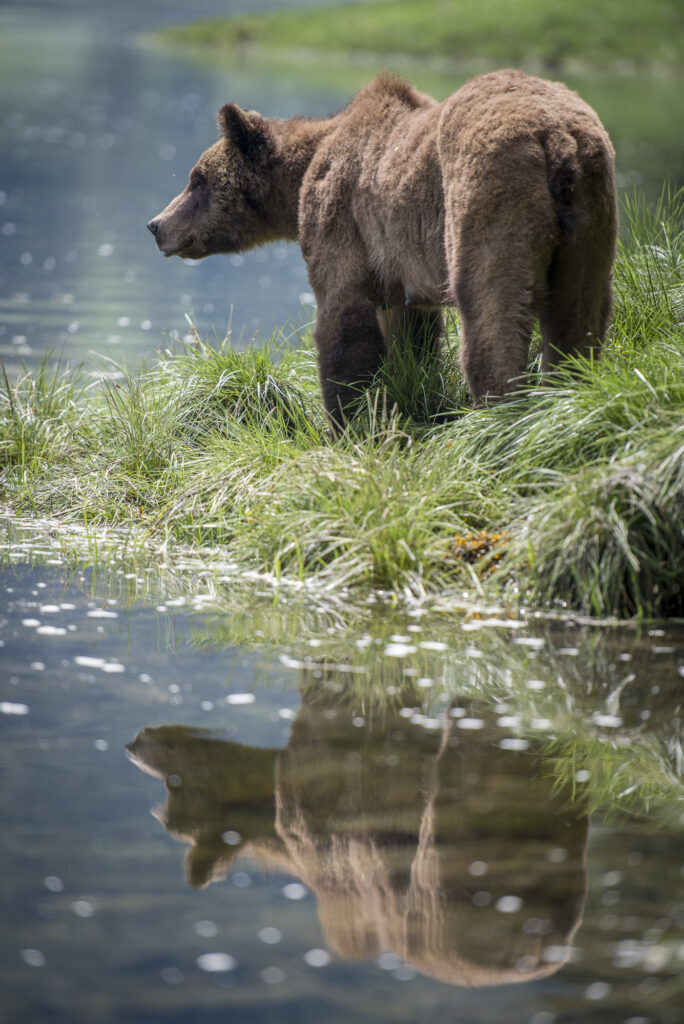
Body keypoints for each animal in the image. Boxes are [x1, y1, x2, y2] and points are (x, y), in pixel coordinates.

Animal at [148, 70, 617, 429]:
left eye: (197, 179)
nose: (156, 225)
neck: (300, 178)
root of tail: (554, 136)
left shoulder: (341, 217)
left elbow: (344, 317)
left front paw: (345, 422)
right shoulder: (398, 262)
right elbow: (411, 332)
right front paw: (407, 396)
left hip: (488, 195)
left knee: (490, 309)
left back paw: (497, 413)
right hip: (589, 219)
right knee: (579, 314)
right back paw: (568, 398)